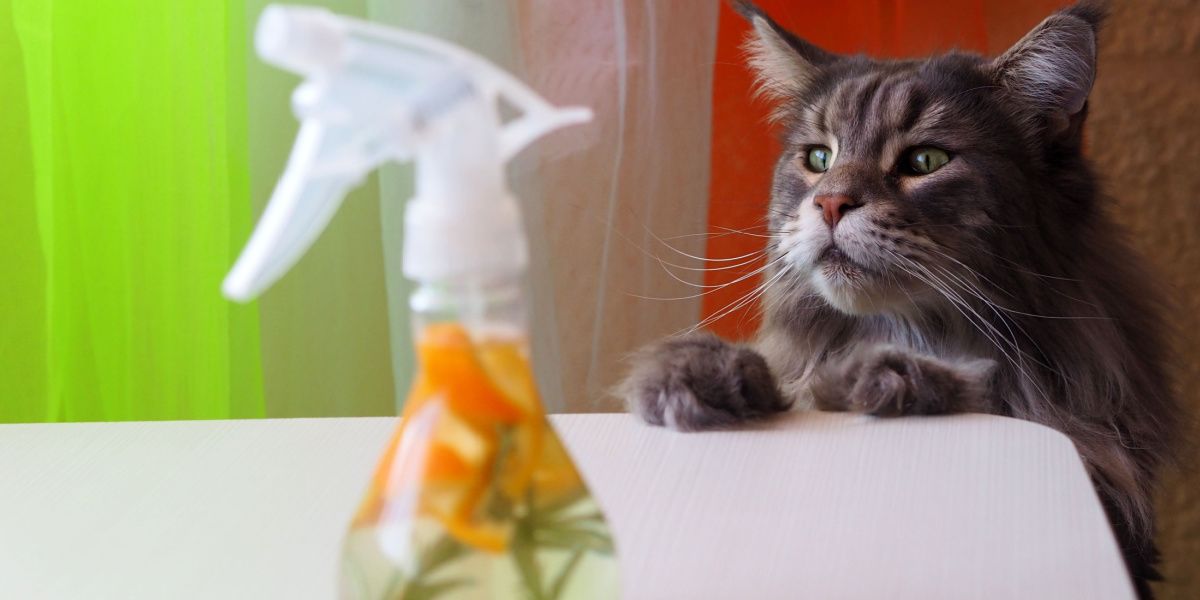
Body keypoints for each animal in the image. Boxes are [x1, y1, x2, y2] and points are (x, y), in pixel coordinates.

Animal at [619, 3, 1180, 595]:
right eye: (819, 158)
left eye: (926, 160)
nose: (831, 203)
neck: (895, 330)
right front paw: (696, 372)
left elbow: (966, 380)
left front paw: (881, 375)